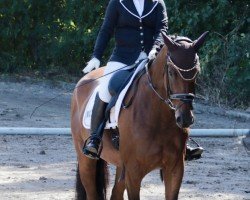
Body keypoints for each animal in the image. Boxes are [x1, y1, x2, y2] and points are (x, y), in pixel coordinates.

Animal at [71, 31, 209, 200]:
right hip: (86, 160)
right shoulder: (133, 172)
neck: (159, 117)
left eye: (197, 72)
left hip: (120, 166)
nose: (185, 118)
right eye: (171, 72)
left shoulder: (175, 169)